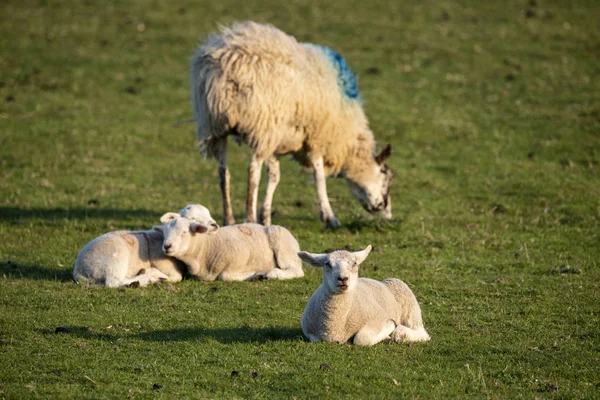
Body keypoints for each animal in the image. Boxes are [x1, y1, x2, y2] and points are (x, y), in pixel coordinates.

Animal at [72, 203, 218, 288]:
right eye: (193, 218)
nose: (214, 225)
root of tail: (79, 270)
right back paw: (145, 280)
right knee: (113, 282)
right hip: (114, 260)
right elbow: (176, 277)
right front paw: (156, 275)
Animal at [159, 212, 304, 282]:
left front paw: (254, 274)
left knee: (296, 270)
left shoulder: (242, 256)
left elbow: (225, 276)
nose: (167, 246)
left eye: (184, 232)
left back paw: (272, 273)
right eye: (165, 231)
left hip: (283, 246)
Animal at [190, 21, 392, 228]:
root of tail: (229, 63)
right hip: (262, 126)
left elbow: (274, 177)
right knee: (253, 171)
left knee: (224, 172)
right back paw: (249, 218)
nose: (386, 211)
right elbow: (319, 176)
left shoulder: (277, 143)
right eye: (385, 175)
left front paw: (266, 217)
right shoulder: (315, 136)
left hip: (215, 126)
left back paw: (229, 219)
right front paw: (329, 216)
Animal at [298, 245, 428, 346]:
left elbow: (361, 339)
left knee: (422, 333)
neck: (335, 326)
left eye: (355, 263)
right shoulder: (311, 333)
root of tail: (382, 281)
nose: (343, 278)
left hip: (410, 306)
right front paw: (387, 336)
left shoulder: (378, 316)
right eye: (327, 264)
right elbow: (315, 339)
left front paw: (390, 327)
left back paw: (400, 333)